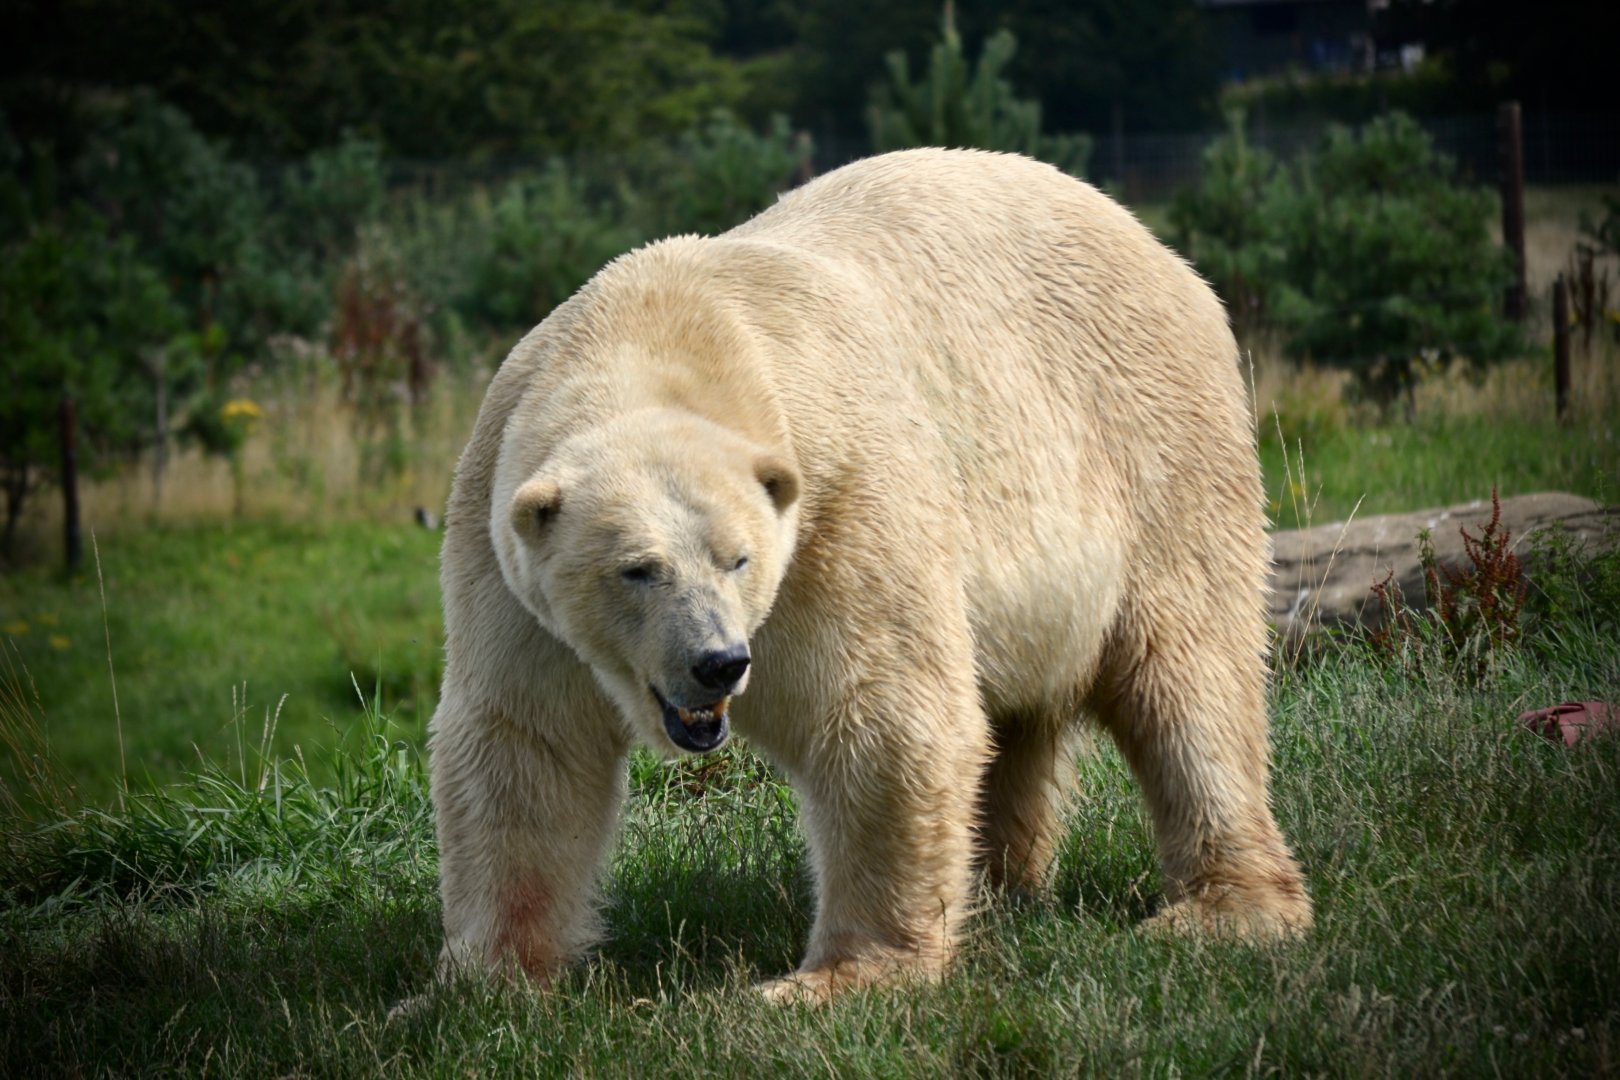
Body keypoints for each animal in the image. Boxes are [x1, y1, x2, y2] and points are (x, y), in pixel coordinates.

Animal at [427, 147, 1312, 1005]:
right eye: (637, 569)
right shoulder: (503, 550)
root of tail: (1161, 250)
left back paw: (1226, 910)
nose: (718, 662)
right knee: (1018, 715)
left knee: (1190, 678)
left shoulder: (839, 496)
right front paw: (484, 984)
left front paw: (837, 979)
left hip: (1151, 441)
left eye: (738, 557)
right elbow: (525, 746)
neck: (661, 328)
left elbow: (883, 710)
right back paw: (999, 887)